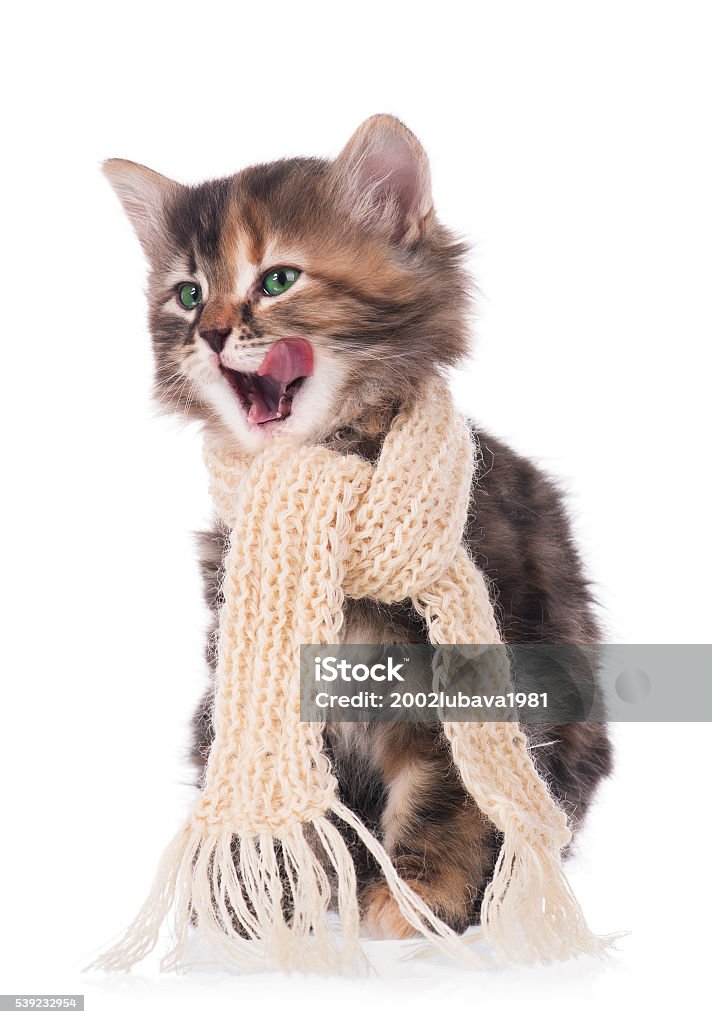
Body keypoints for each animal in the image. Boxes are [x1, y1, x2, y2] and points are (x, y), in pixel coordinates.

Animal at [104, 116, 614, 937]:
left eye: (278, 280)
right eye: (188, 295)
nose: (210, 334)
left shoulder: (468, 665)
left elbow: (449, 793)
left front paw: (420, 897)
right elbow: (295, 807)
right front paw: (267, 894)